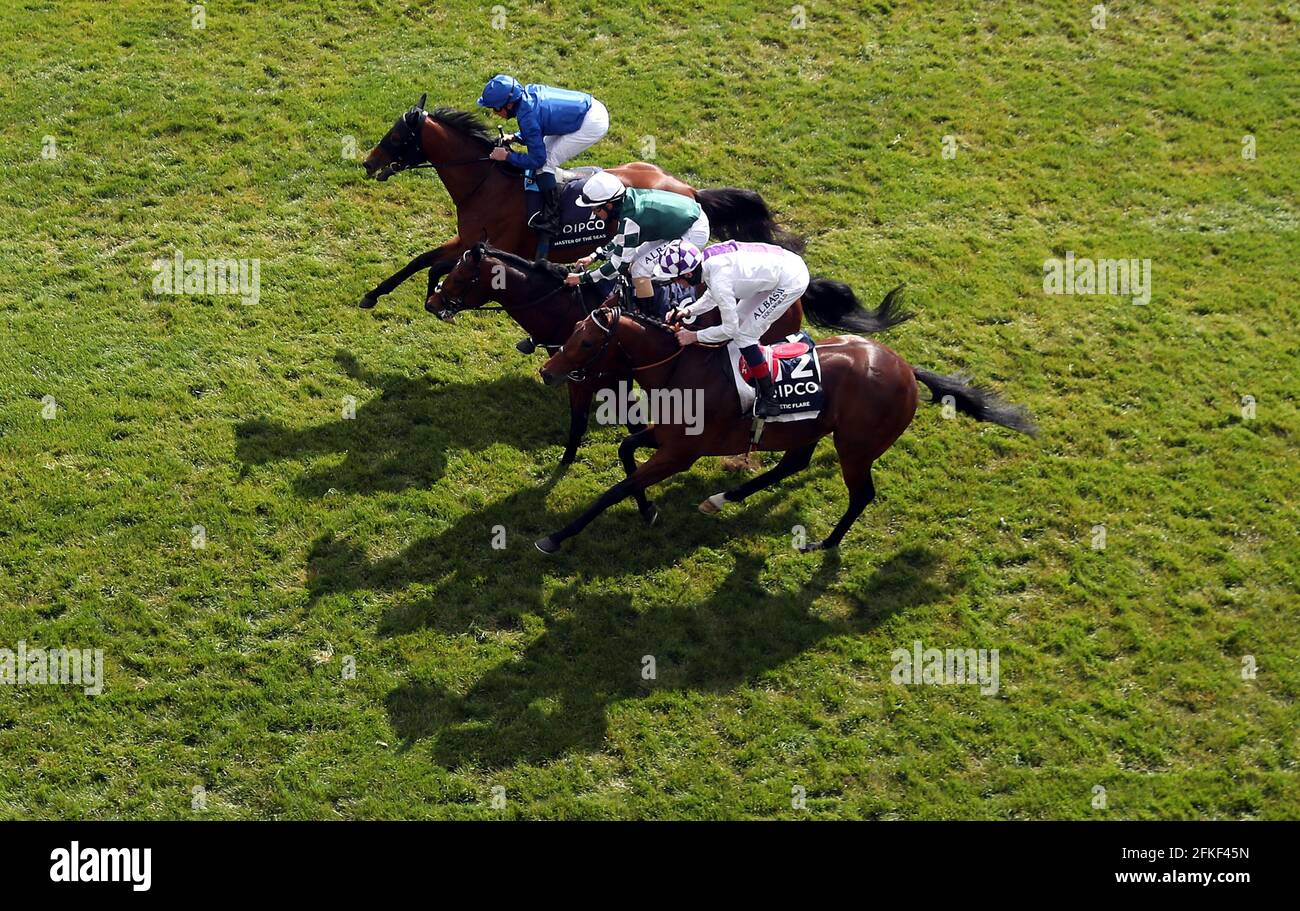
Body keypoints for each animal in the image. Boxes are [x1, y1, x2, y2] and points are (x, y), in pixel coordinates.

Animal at [358, 93, 800, 310]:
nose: (368, 163)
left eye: (396, 136)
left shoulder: (491, 244)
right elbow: (421, 261)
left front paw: (438, 294)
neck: (485, 182)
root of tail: (690, 191)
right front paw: (373, 295)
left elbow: (440, 266)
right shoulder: (465, 238)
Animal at [428, 243, 915, 462]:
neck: (568, 307)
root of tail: (799, 288)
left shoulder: (600, 376)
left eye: (460, 276)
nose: (433, 303)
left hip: (758, 323)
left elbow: (594, 420)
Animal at [530, 309, 1034, 551]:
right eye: (572, 331)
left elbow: (614, 488)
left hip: (856, 447)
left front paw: (556, 537)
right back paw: (722, 498)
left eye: (588, 342)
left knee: (861, 494)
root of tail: (908, 369)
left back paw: (824, 544)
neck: (681, 368)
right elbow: (625, 452)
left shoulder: (681, 453)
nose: (547, 372)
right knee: (794, 463)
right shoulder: (667, 439)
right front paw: (649, 510)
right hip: (807, 429)